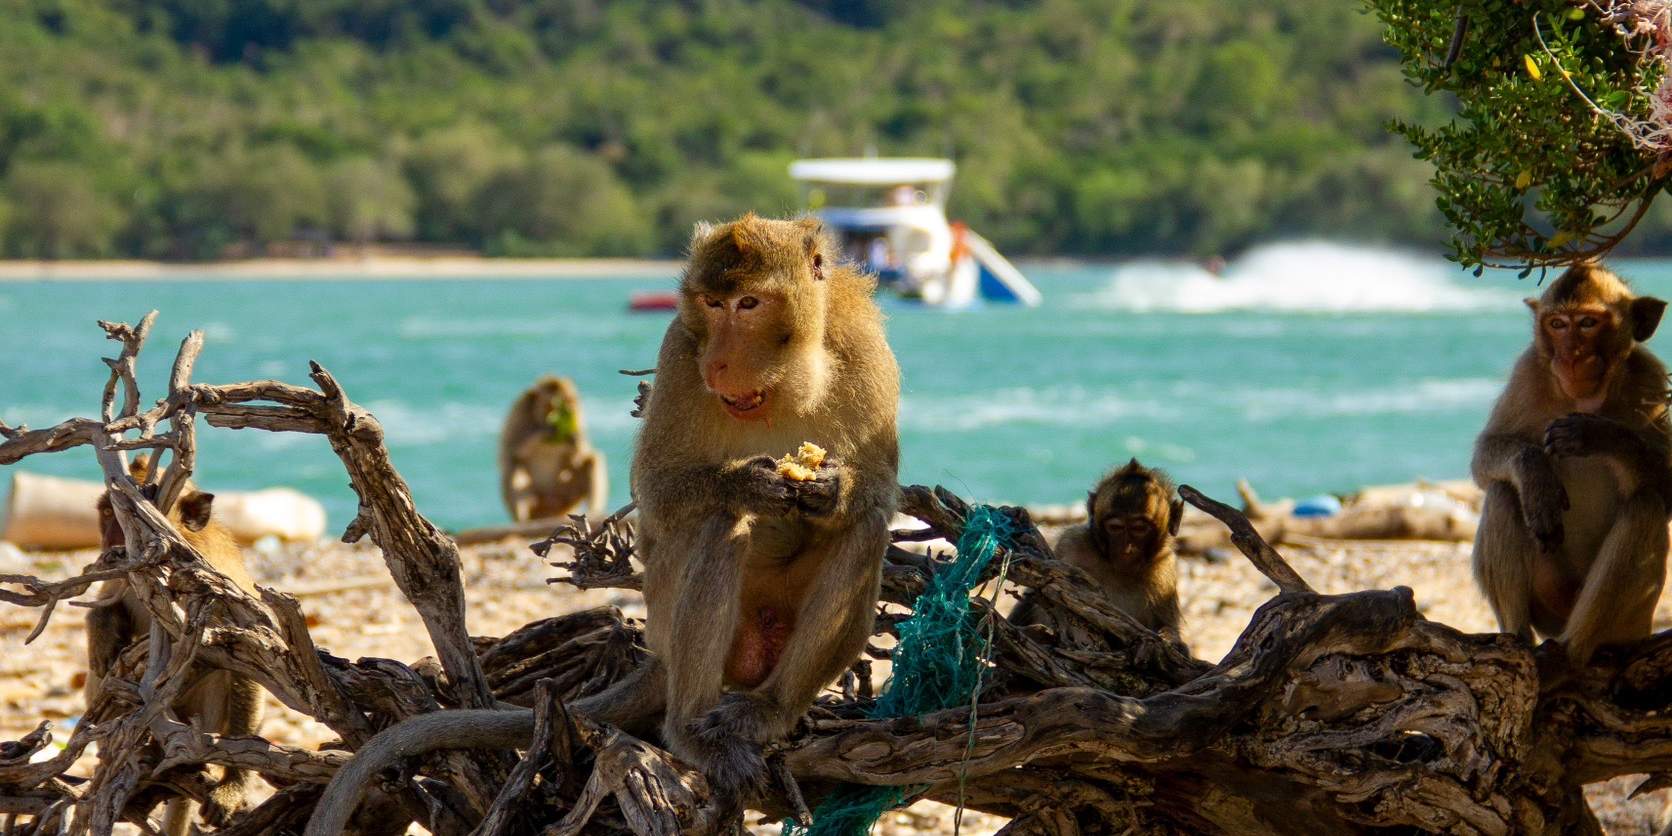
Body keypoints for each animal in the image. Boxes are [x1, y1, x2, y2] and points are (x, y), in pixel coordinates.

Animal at [87, 459, 265, 834]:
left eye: (131, 520)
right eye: (108, 514)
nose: (111, 542)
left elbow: (249, 672)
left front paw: (232, 787)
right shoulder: (125, 575)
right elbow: (107, 605)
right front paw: (102, 631)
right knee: (108, 673)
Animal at [498, 374, 608, 521]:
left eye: (564, 404)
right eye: (549, 406)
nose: (554, 417)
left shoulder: (576, 411)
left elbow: (578, 456)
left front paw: (573, 438)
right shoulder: (521, 408)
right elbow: (512, 449)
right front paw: (547, 431)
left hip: (563, 496)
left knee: (591, 460)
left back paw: (594, 513)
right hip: (537, 499)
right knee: (512, 466)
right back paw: (522, 520)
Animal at [1012, 459, 1188, 653]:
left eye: (1139, 529)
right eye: (1115, 527)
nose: (1127, 549)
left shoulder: (1165, 567)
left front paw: (1170, 641)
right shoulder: (1071, 544)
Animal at [1471, 262, 1671, 669]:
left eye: (1588, 323)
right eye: (1558, 324)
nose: (1571, 356)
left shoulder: (1652, 381)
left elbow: (1670, 488)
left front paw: (1596, 433)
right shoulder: (1528, 371)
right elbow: (1485, 458)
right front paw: (1537, 479)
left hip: (1632, 621)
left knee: (1646, 506)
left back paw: (1570, 654)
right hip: (1547, 598)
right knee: (1502, 492)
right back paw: (1518, 640)